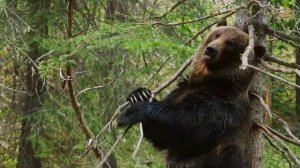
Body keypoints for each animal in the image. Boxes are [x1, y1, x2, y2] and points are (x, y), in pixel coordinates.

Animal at [117, 25, 264, 168]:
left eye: (231, 43)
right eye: (217, 34)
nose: (210, 49)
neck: (209, 80)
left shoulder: (223, 105)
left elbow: (189, 125)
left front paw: (130, 113)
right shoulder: (182, 90)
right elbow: (163, 136)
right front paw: (139, 94)